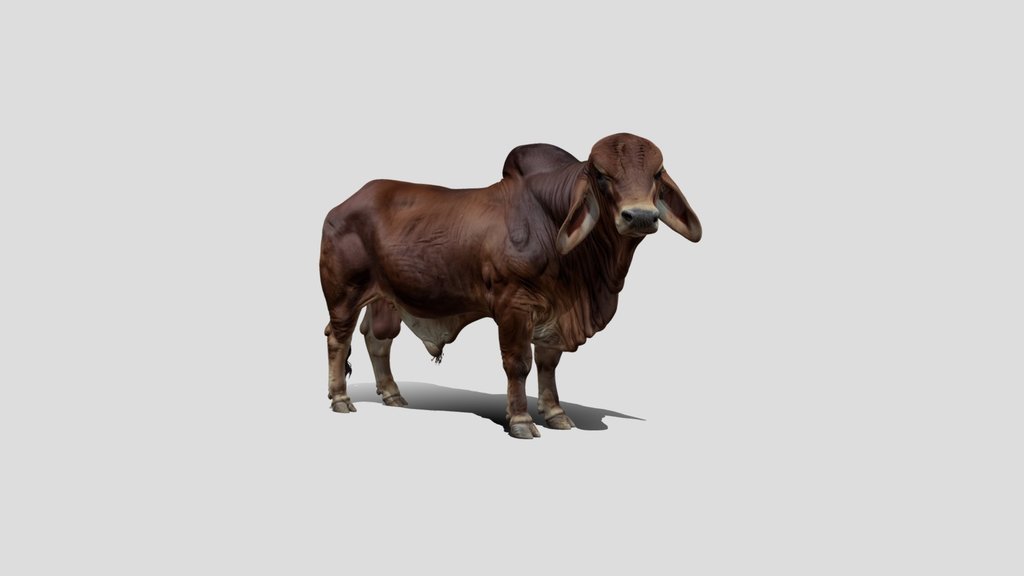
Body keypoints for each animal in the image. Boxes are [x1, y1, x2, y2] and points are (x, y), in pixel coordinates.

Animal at [319, 133, 701, 439]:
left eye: (656, 173)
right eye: (601, 175)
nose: (640, 216)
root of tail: (341, 207)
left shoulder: (554, 314)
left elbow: (548, 363)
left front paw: (556, 414)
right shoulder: (513, 306)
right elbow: (518, 363)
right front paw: (521, 421)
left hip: (385, 299)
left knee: (377, 340)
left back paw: (393, 395)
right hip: (344, 295)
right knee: (339, 339)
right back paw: (341, 398)